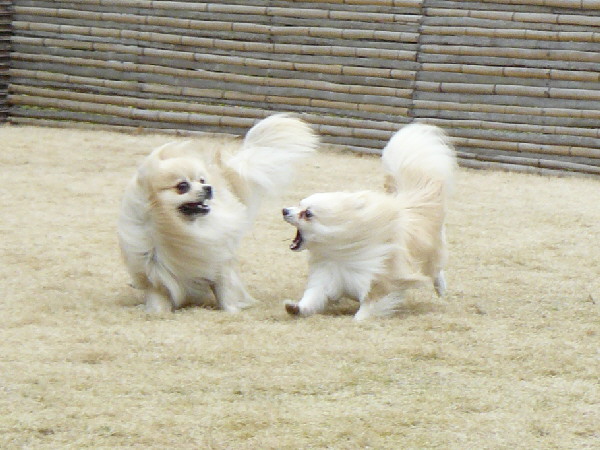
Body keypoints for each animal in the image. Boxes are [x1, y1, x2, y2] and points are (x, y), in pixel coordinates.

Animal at [118, 114, 318, 313]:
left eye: (201, 180)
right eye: (182, 186)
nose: (208, 188)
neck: (178, 230)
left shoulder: (218, 260)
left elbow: (224, 290)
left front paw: (232, 310)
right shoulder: (153, 269)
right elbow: (158, 295)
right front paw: (156, 311)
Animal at [282, 123, 456, 320]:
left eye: (308, 213)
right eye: (299, 204)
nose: (284, 210)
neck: (340, 254)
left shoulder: (380, 281)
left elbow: (366, 310)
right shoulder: (327, 276)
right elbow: (311, 298)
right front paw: (295, 308)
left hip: (431, 255)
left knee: (435, 270)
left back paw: (441, 289)